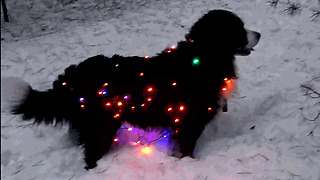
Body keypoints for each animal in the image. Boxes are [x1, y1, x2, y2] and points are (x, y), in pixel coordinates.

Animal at [11, 9, 260, 169]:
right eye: (239, 28)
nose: (258, 34)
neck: (204, 57)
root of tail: (73, 76)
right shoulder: (190, 124)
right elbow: (187, 150)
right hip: (102, 127)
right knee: (91, 156)